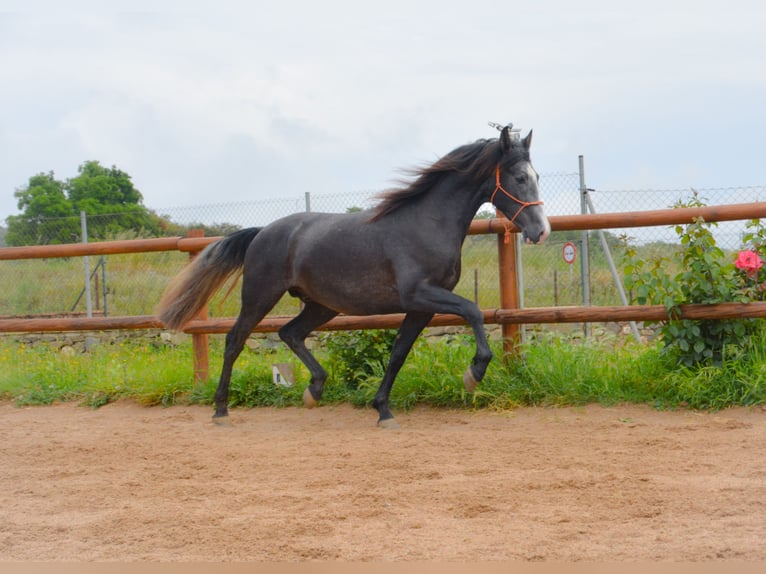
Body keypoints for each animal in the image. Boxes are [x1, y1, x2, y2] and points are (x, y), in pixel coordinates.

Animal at [158, 124, 550, 428]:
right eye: (519, 177)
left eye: (537, 177)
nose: (542, 231)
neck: (426, 224)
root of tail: (262, 232)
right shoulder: (420, 294)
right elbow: (473, 311)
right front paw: (474, 374)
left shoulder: (420, 308)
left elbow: (398, 352)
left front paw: (383, 410)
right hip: (260, 295)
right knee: (235, 340)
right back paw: (221, 409)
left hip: (321, 305)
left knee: (290, 333)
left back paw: (314, 389)